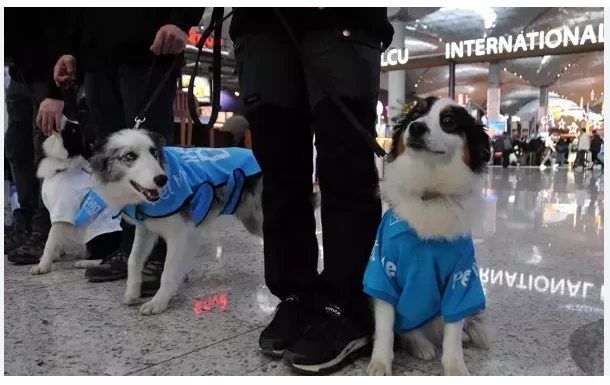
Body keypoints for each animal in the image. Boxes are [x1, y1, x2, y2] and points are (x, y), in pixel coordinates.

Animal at [29, 115, 122, 274]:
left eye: (73, 130)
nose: (59, 114)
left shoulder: (62, 211)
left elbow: (50, 241)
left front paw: (42, 266)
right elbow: (56, 240)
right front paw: (55, 255)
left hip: (98, 236)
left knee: (104, 256)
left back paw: (85, 262)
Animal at [366, 97, 490, 376]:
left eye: (449, 121)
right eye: (415, 114)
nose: (416, 127)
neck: (430, 191)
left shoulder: (461, 276)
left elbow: (453, 331)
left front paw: (455, 368)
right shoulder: (383, 270)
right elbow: (385, 328)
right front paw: (380, 363)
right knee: (407, 329)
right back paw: (421, 345)